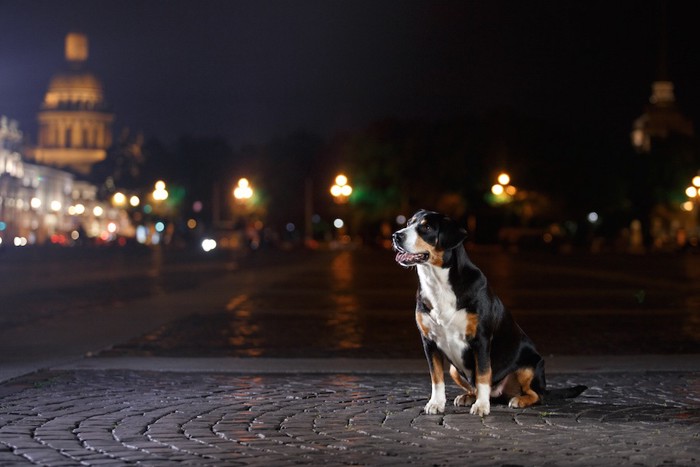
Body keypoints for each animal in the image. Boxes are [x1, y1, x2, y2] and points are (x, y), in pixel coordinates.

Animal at [394, 210, 584, 414]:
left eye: (427, 227)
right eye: (409, 223)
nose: (396, 236)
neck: (439, 284)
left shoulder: (482, 339)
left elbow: (483, 375)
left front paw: (481, 406)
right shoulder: (429, 341)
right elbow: (436, 378)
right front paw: (436, 403)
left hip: (531, 365)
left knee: (536, 395)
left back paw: (518, 399)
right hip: (454, 370)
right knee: (475, 387)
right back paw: (469, 396)